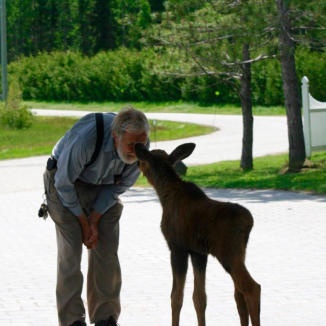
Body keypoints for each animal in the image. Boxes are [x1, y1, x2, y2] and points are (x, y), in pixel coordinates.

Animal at [134, 143, 260, 326]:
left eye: (145, 159)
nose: (137, 163)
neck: (164, 194)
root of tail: (249, 222)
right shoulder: (198, 252)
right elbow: (199, 297)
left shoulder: (177, 247)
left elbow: (176, 297)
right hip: (239, 254)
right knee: (239, 294)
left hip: (228, 254)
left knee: (251, 288)